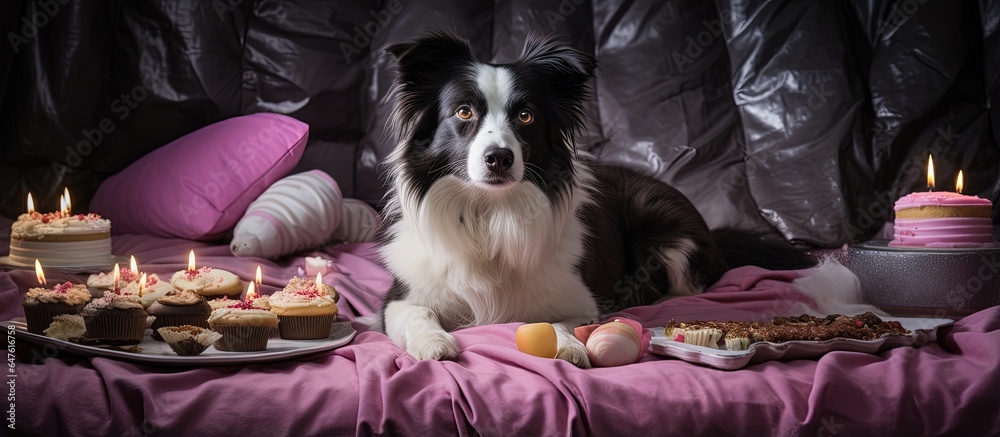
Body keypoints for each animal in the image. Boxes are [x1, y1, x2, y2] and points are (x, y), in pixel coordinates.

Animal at [376, 31, 812, 364]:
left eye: (526, 116)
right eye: (464, 112)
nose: (499, 158)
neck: (491, 212)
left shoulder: (581, 300)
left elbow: (560, 320)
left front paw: (566, 344)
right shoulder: (397, 300)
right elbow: (418, 313)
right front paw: (434, 342)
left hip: (661, 224)